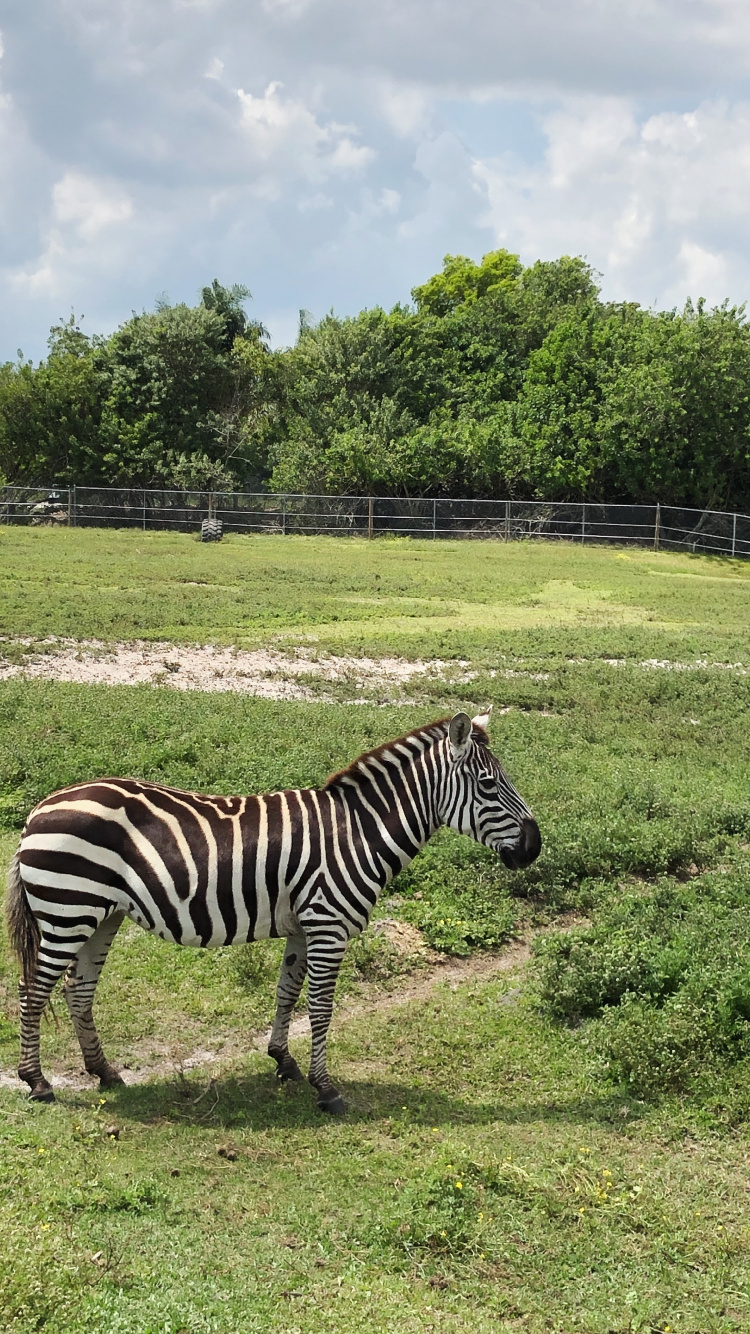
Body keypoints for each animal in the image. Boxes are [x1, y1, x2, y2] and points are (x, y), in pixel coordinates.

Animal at [5, 709, 541, 1113]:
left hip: (101, 913)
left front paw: (283, 1061)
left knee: (78, 990)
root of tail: (38, 809)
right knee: (32, 990)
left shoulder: (303, 926)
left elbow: (287, 993)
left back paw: (105, 1072)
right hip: (68, 908)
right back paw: (37, 1082)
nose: (535, 848)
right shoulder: (328, 923)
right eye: (489, 785)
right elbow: (321, 1007)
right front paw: (326, 1090)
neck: (358, 831)